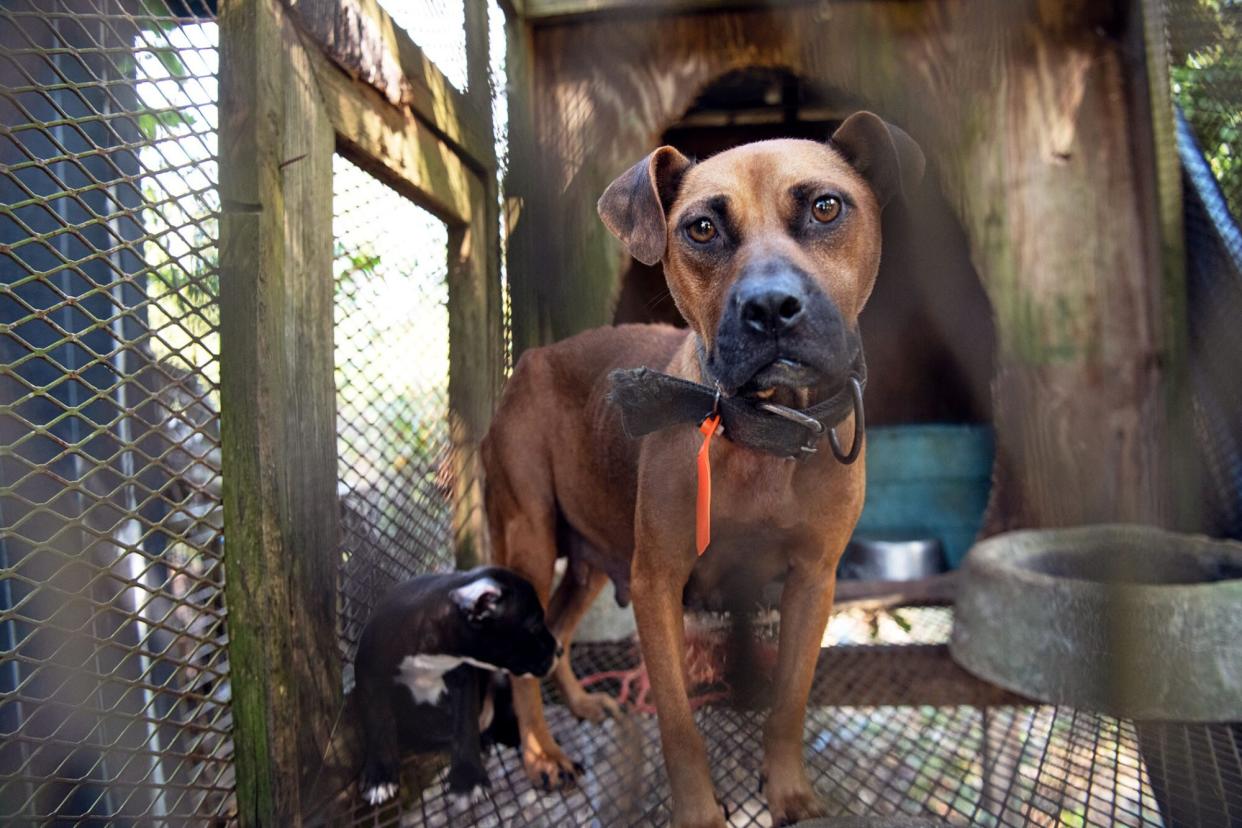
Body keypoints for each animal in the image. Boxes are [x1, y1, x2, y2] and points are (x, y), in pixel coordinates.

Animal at [355, 566, 558, 804]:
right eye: (534, 626)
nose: (559, 649)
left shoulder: (463, 679)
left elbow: (465, 724)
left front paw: (468, 778)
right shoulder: (370, 675)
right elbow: (378, 723)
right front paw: (380, 776)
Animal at [479, 111, 929, 828]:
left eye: (827, 207)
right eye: (702, 228)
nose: (769, 307)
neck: (765, 430)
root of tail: (531, 362)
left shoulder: (813, 583)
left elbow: (787, 703)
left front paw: (791, 794)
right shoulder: (658, 584)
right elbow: (679, 726)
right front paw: (697, 811)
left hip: (586, 561)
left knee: (555, 636)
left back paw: (577, 702)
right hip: (529, 538)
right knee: (524, 658)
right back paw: (541, 752)